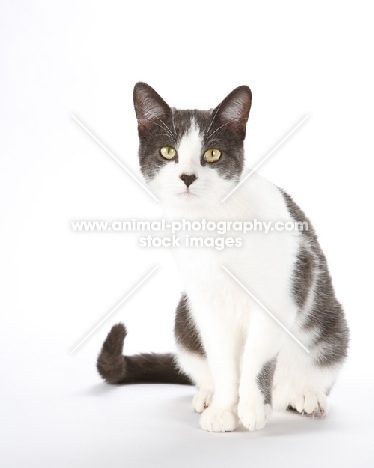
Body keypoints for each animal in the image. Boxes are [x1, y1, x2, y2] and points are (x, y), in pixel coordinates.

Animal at [95, 82, 348, 434]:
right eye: (168, 152)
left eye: (212, 154)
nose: (188, 177)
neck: (211, 222)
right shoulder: (206, 304)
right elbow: (224, 362)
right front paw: (224, 410)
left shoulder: (280, 296)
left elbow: (256, 357)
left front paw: (252, 407)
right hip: (184, 316)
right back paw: (208, 394)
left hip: (330, 322)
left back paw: (305, 395)